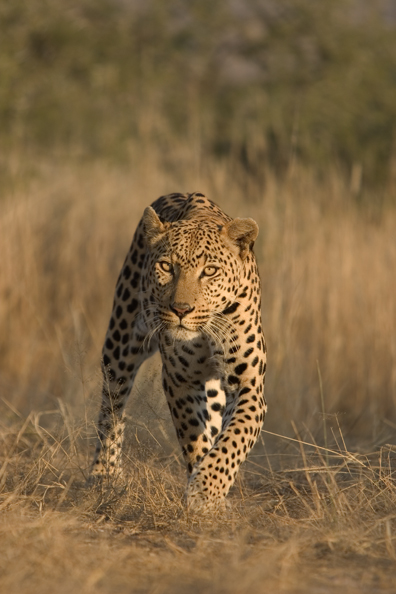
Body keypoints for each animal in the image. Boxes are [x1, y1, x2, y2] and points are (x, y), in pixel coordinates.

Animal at [91, 192, 268, 506]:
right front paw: (205, 493)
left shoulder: (248, 383)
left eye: (209, 271)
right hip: (120, 345)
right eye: (166, 267)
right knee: (112, 407)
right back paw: (105, 476)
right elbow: (194, 438)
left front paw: (208, 490)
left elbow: (233, 437)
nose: (181, 309)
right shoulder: (180, 382)